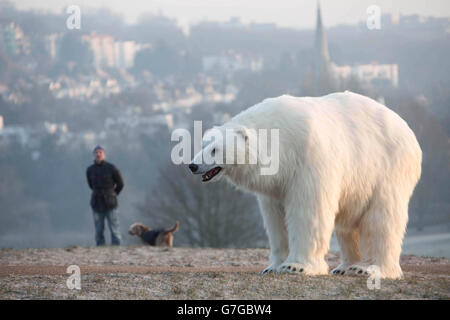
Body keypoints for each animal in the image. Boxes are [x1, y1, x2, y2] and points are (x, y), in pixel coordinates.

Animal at [189, 91, 422, 278]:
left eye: (215, 149)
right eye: (203, 144)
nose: (192, 165)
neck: (281, 141)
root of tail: (409, 131)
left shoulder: (308, 161)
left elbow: (308, 211)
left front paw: (295, 266)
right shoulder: (276, 182)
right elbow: (276, 218)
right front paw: (272, 266)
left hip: (386, 169)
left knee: (381, 220)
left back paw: (368, 268)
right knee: (348, 225)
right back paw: (344, 267)